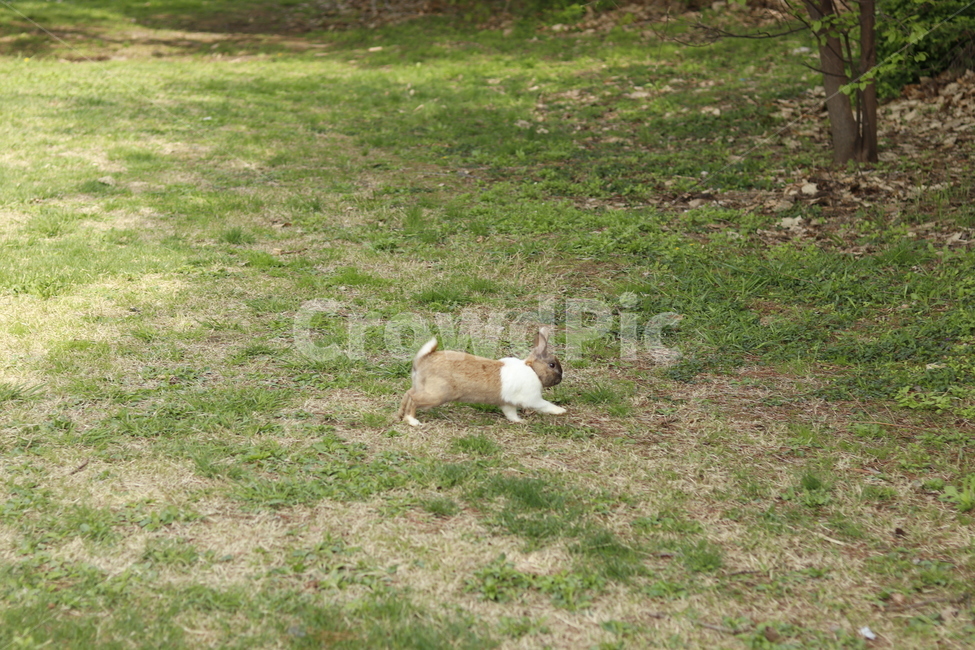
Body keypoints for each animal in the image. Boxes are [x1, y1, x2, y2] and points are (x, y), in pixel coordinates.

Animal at [397, 326, 565, 426]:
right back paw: (412, 421)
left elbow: (511, 414)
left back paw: (399, 415)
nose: (560, 379)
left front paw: (520, 421)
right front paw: (561, 411)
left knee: (407, 394)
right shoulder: (532, 399)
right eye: (552, 365)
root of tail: (423, 360)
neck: (533, 370)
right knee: (414, 399)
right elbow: (545, 405)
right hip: (436, 395)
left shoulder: (507, 403)